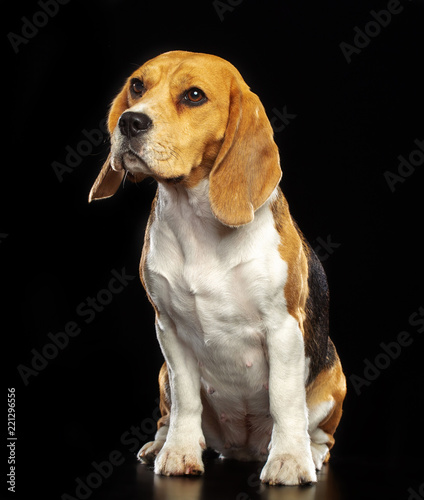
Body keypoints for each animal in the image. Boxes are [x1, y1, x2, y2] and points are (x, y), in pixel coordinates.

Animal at [88, 50, 344, 484]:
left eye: (194, 95)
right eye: (137, 86)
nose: (130, 121)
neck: (196, 222)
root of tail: (242, 449)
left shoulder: (283, 328)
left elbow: (284, 399)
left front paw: (289, 461)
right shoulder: (168, 329)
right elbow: (187, 400)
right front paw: (178, 453)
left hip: (333, 377)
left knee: (321, 434)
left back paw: (308, 451)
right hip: (162, 375)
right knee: (170, 414)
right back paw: (160, 444)